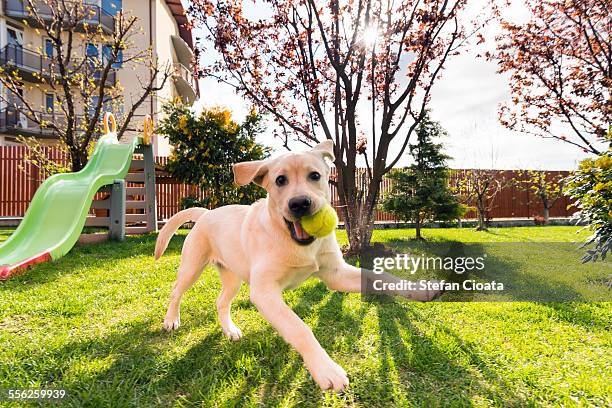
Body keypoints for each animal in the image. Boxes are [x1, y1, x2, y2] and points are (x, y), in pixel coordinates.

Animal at [155, 141, 438, 392]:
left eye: (315, 176)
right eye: (280, 180)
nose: (300, 203)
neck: (294, 241)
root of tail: (206, 213)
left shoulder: (336, 274)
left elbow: (379, 276)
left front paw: (421, 289)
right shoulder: (265, 292)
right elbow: (299, 328)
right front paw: (326, 369)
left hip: (233, 277)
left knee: (221, 302)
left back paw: (230, 330)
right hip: (192, 267)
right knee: (175, 292)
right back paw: (171, 321)